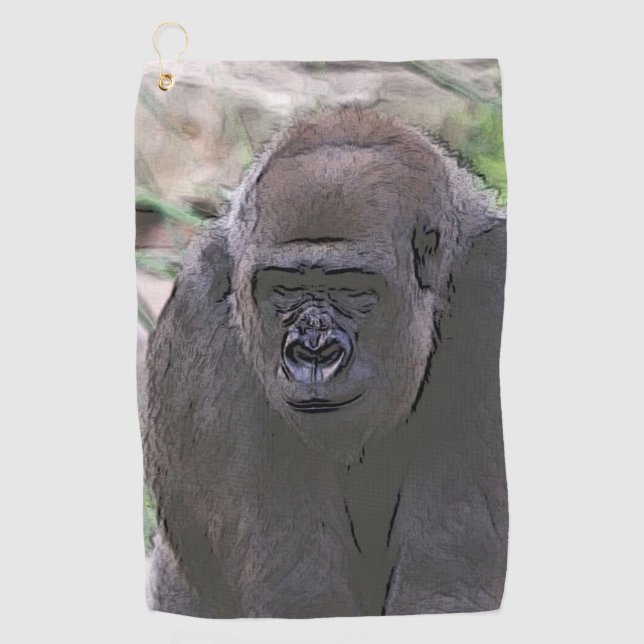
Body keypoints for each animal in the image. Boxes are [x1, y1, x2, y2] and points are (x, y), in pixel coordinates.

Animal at [142, 107, 508, 618]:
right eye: (285, 286)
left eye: (352, 287)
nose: (313, 351)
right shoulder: (201, 310)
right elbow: (303, 601)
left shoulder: (493, 289)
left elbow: (447, 588)